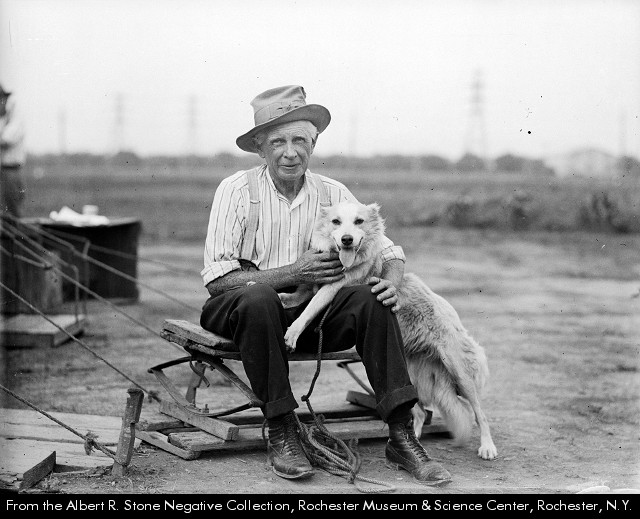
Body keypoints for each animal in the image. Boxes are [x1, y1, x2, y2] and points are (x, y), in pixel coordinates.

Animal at [281, 200, 498, 460]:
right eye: (335, 222)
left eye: (359, 221)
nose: (346, 239)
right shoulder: (309, 284)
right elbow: (296, 296)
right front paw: (269, 292)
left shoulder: (330, 289)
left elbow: (310, 308)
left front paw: (293, 332)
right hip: (410, 374)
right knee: (422, 412)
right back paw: (413, 442)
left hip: (460, 374)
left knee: (479, 413)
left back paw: (487, 447)